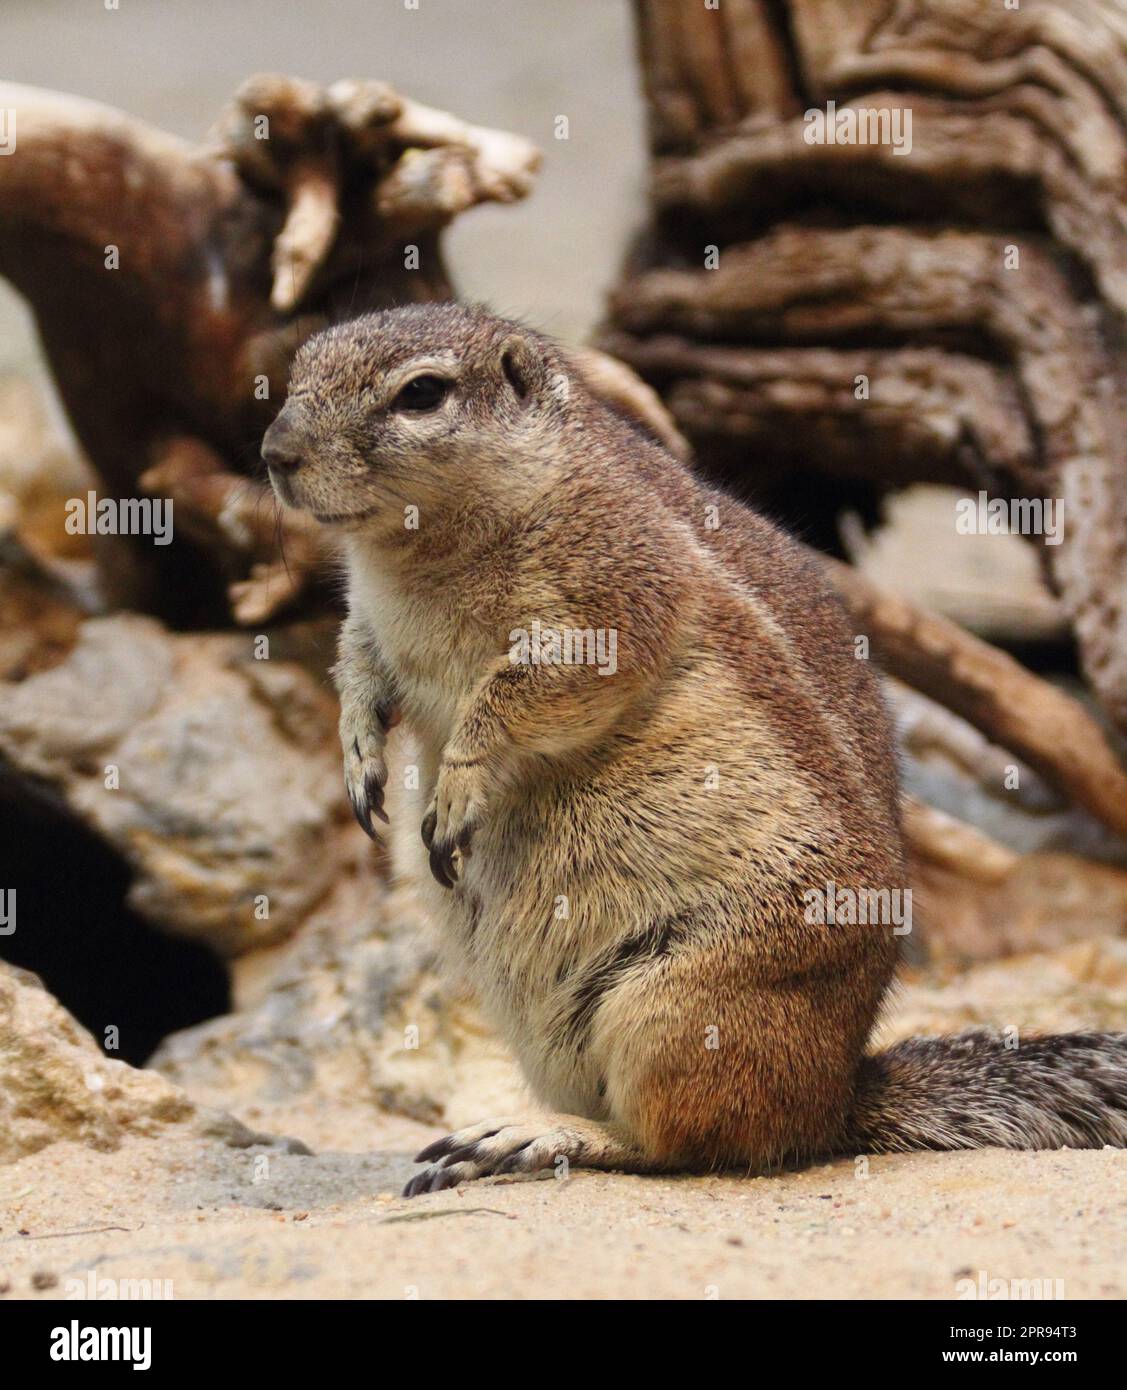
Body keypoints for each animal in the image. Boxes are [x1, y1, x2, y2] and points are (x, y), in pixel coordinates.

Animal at [266, 304, 1127, 1195]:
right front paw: (359, 755)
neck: (412, 554)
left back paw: (532, 1137)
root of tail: (834, 1095)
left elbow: (516, 700)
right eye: (297, 368)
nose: (273, 454)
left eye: (421, 394)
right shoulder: (370, 620)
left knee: (684, 1142)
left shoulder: (607, 596)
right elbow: (357, 665)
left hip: (678, 1003)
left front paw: (456, 787)